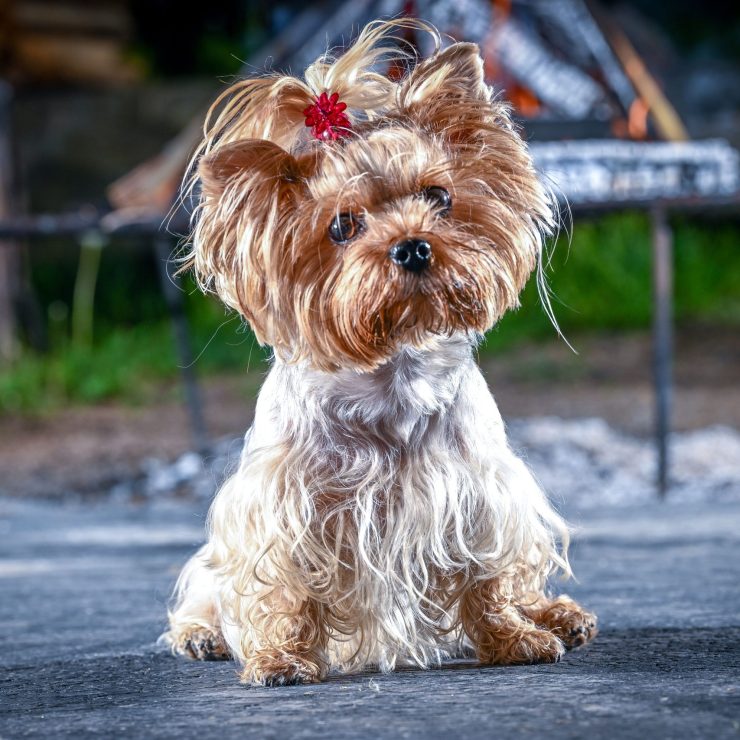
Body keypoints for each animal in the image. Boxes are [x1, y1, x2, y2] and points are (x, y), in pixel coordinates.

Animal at [163, 18, 596, 688]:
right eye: (342, 226)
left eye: (438, 196)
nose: (412, 246)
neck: (393, 370)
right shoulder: (280, 509)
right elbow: (284, 588)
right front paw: (280, 658)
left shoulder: (482, 496)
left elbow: (490, 575)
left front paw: (514, 637)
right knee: (210, 591)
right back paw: (202, 634)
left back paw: (556, 616)